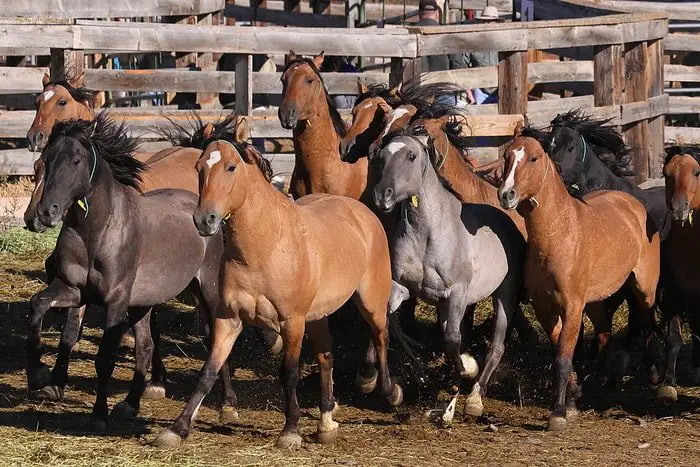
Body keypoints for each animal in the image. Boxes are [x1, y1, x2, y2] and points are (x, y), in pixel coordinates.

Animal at [150, 116, 408, 450]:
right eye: (199, 167)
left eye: (231, 167)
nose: (204, 220)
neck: (266, 244)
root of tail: (361, 212)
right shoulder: (228, 318)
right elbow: (209, 371)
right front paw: (177, 429)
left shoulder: (292, 322)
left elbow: (289, 373)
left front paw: (291, 431)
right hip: (318, 316)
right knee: (326, 356)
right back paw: (326, 422)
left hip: (371, 301)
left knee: (381, 337)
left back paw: (388, 391)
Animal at [372, 133, 524, 424]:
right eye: (381, 156)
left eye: (411, 156)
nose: (382, 195)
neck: (427, 233)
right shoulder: (404, 288)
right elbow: (390, 324)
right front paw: (403, 384)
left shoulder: (457, 294)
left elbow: (454, 339)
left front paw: (466, 369)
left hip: (505, 295)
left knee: (496, 345)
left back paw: (474, 397)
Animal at [498, 134, 660, 432]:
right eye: (506, 156)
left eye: (534, 158)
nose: (506, 194)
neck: (559, 235)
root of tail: (633, 204)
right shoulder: (544, 307)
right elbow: (562, 352)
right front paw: (574, 399)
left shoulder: (572, 306)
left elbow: (563, 357)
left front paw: (559, 413)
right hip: (595, 301)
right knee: (605, 332)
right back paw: (605, 379)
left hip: (644, 288)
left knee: (648, 322)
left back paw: (657, 378)